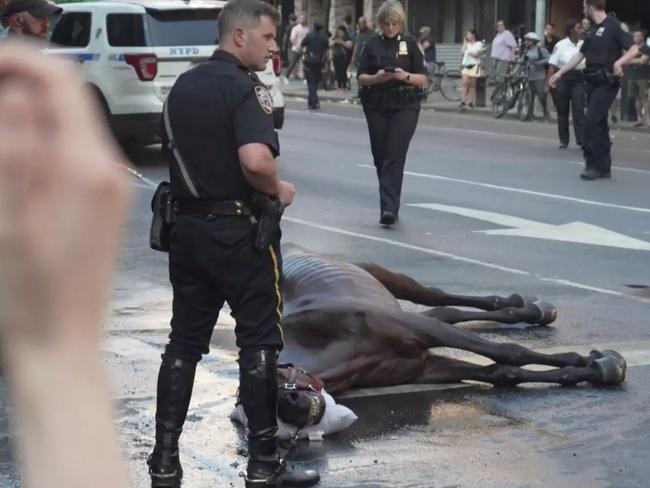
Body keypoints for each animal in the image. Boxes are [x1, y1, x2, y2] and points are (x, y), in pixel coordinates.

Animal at [278, 244, 624, 392]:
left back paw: (528, 308)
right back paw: (528, 309)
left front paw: (599, 363)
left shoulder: (420, 330)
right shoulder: (424, 368)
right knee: (447, 312)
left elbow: (510, 352)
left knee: (436, 297)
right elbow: (503, 372)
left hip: (381, 275)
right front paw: (591, 370)